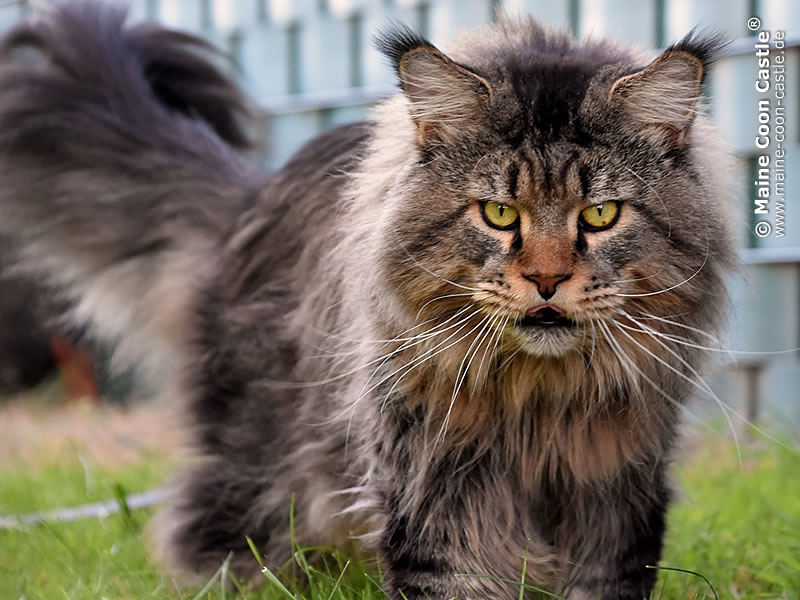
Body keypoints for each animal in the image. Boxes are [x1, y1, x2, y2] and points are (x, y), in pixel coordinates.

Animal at [0, 4, 736, 600]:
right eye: (499, 213)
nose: (548, 281)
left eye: (600, 214)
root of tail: (251, 198)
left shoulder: (619, 492)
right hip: (258, 480)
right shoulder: (436, 489)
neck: (538, 403)